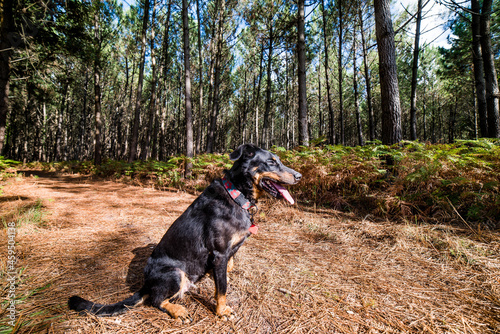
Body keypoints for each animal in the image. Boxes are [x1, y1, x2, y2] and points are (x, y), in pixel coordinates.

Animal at [68, 145, 302, 322]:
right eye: (271, 162)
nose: (299, 176)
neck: (236, 195)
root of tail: (145, 286)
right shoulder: (219, 255)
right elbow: (222, 290)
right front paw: (221, 311)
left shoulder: (227, 256)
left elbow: (225, 276)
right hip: (175, 272)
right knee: (156, 300)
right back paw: (177, 310)